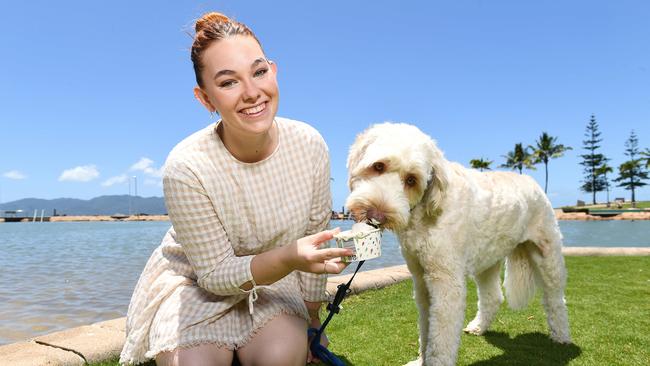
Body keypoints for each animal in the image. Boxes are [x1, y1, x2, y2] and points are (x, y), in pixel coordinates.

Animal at [344, 123, 568, 366]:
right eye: (378, 166)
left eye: (411, 179)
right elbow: (426, 328)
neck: (427, 211)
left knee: (555, 299)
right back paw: (479, 326)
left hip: (547, 254)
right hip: (488, 260)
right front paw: (421, 360)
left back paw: (562, 337)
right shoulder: (421, 278)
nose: (377, 216)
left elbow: (440, 338)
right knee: (493, 296)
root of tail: (532, 182)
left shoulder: (446, 282)